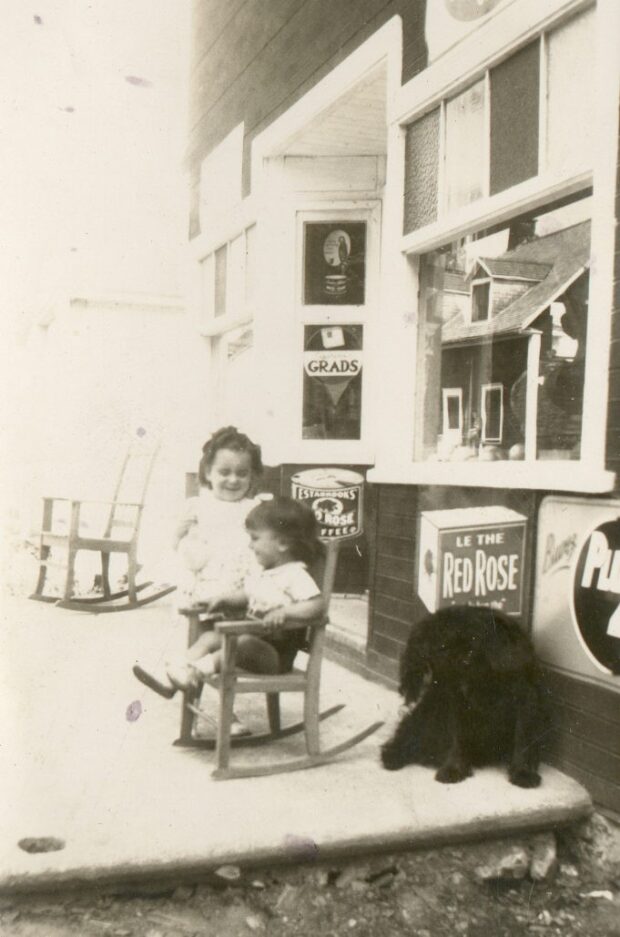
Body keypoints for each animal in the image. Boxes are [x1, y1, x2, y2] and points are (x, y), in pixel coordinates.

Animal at [380, 604, 544, 788]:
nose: (456, 663)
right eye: (441, 648)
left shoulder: (526, 702)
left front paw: (523, 772)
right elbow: (457, 738)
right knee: (407, 731)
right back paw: (394, 755)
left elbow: (523, 738)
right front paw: (454, 769)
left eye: (472, 650)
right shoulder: (457, 704)